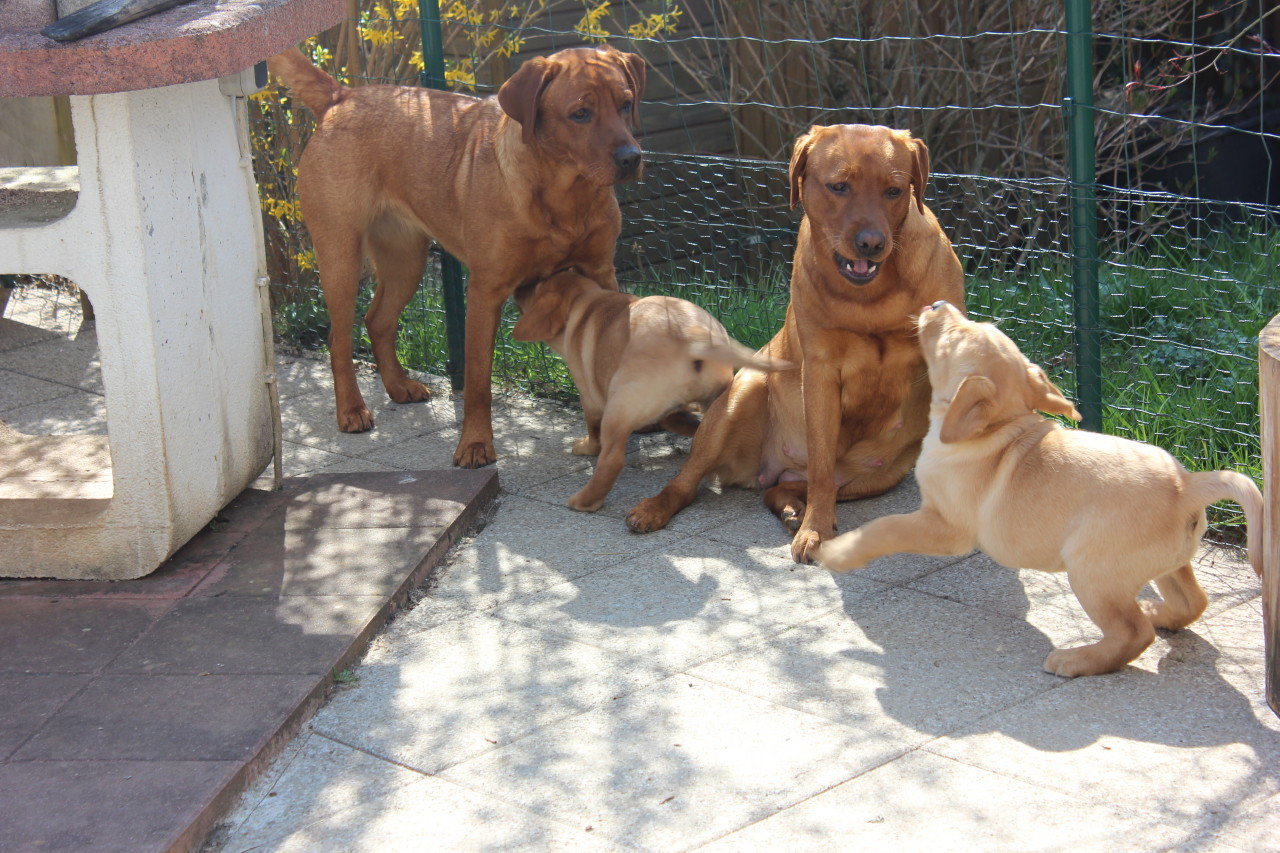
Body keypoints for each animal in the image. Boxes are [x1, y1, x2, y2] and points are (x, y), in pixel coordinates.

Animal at [514, 270, 783, 512]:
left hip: (620, 405)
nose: (519, 288)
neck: (584, 301)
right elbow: (680, 422)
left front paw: (586, 447)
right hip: (715, 397)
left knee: (612, 461)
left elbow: (593, 429)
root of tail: (693, 336)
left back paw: (585, 501)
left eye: (536, 286)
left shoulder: (588, 396)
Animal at [624, 122, 962, 560]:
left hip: (881, 475)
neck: (871, 296)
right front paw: (815, 530)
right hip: (739, 397)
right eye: (839, 186)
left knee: (783, 490)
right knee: (688, 481)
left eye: (894, 190)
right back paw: (656, 509)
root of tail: (764, 469)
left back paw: (790, 509)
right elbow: (820, 464)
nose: (872, 243)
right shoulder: (820, 375)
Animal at [814, 302, 1264, 676]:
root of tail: (1186, 485)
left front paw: (839, 553)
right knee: (1192, 602)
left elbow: (885, 527)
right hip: (1165, 562)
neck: (998, 426)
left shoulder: (946, 527)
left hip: (1092, 571)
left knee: (1133, 633)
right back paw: (1158, 612)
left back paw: (1078, 659)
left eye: (953, 337)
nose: (937, 303)